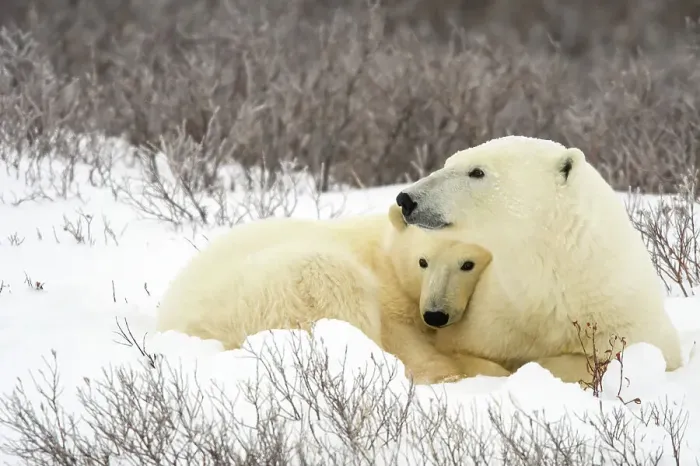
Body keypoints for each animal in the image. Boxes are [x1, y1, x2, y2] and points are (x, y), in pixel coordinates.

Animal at [155, 205, 508, 384]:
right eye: (423, 261)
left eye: (467, 264)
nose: (435, 314)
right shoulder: (390, 298)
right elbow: (408, 343)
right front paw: (455, 369)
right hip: (270, 288)